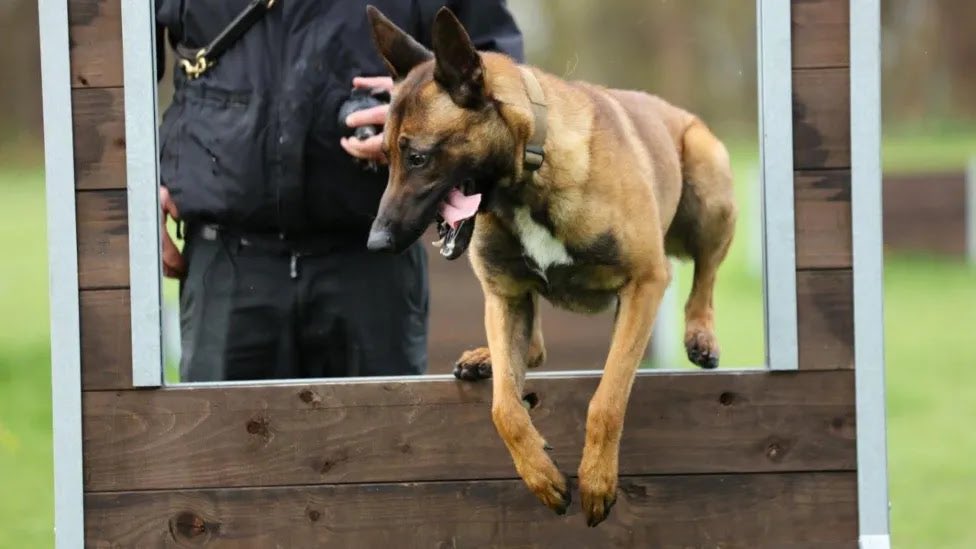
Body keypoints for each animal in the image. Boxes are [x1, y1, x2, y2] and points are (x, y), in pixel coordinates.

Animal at [362, 5, 736, 528]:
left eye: (417, 157)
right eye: (385, 156)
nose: (376, 242)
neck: (529, 174)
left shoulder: (645, 283)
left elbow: (607, 399)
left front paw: (596, 480)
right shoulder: (506, 297)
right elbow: (505, 409)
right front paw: (541, 476)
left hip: (708, 181)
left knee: (705, 274)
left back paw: (701, 333)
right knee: (533, 349)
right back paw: (485, 358)